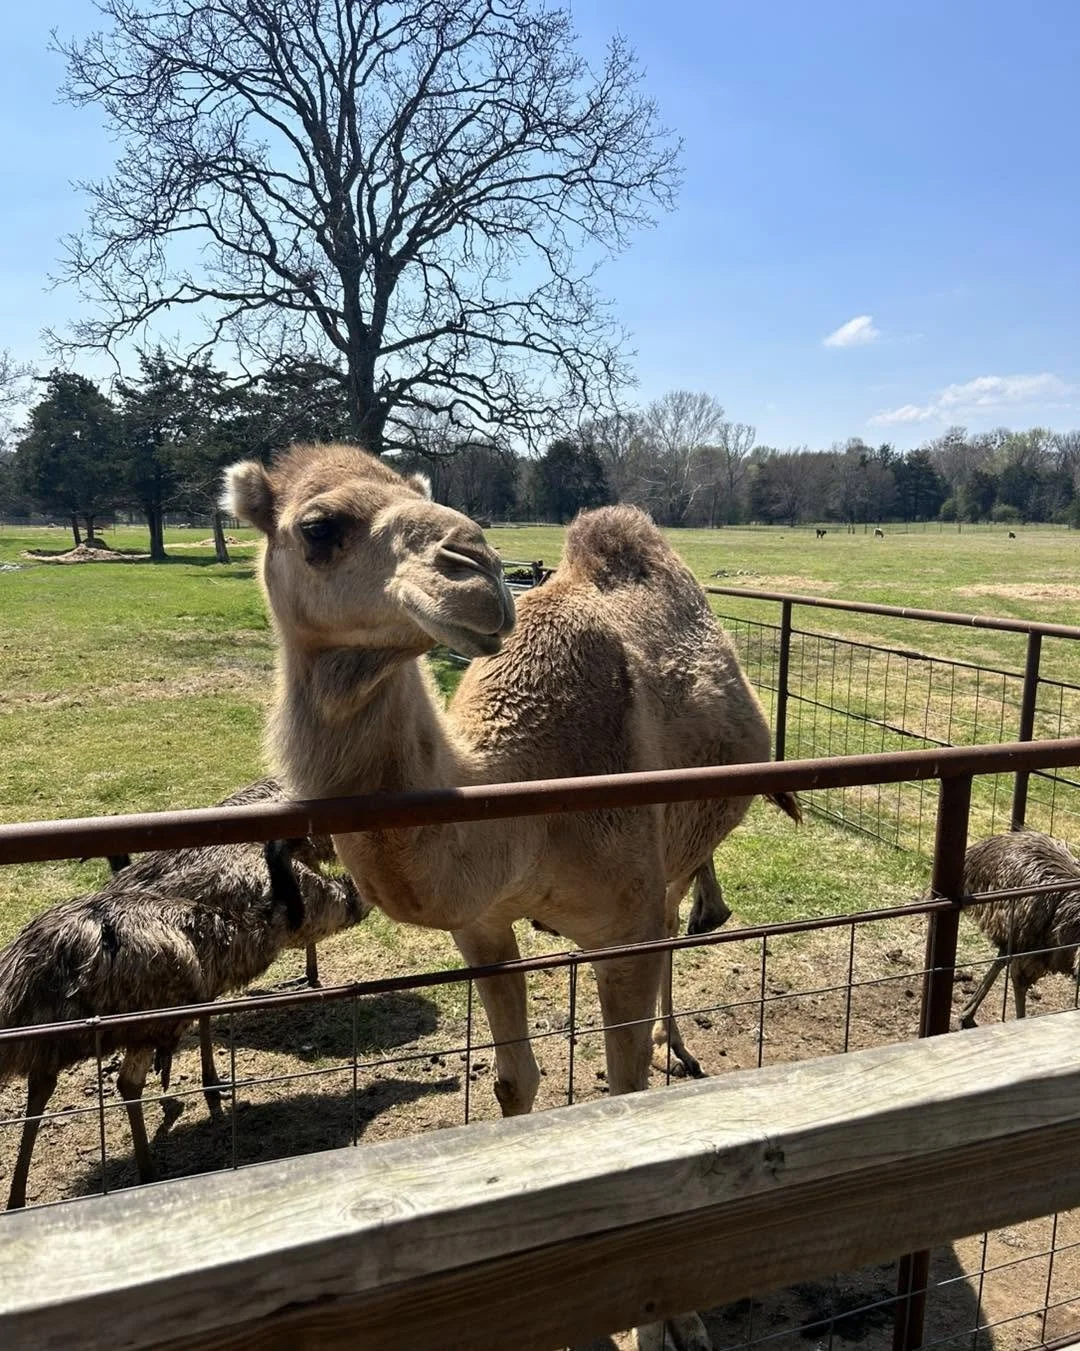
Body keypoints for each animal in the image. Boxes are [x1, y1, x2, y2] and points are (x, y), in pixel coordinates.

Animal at [226, 443, 796, 1345]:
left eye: (418, 491)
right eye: (318, 527)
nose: (474, 567)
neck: (521, 796)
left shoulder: (623, 921)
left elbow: (626, 1096)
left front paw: (669, 1322)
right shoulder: (483, 928)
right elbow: (511, 1082)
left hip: (675, 851)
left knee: (681, 914)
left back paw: (676, 1040)